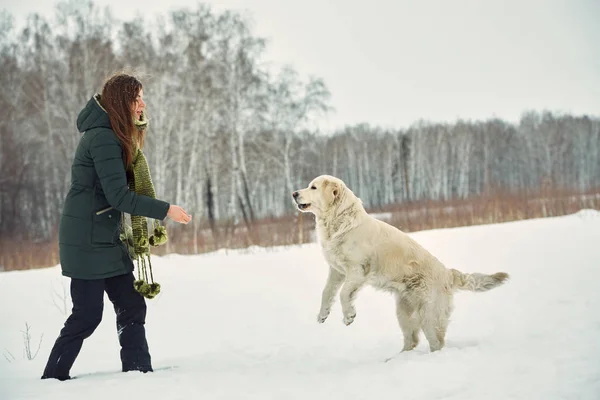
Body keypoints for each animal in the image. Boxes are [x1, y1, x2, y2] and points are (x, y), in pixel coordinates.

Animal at [292, 173, 508, 352]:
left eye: (313, 187)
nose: (294, 193)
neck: (338, 222)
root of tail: (448, 273)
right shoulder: (337, 270)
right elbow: (327, 292)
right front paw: (323, 314)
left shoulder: (357, 270)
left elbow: (344, 293)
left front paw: (349, 316)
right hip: (404, 312)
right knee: (412, 340)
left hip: (429, 314)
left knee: (436, 342)